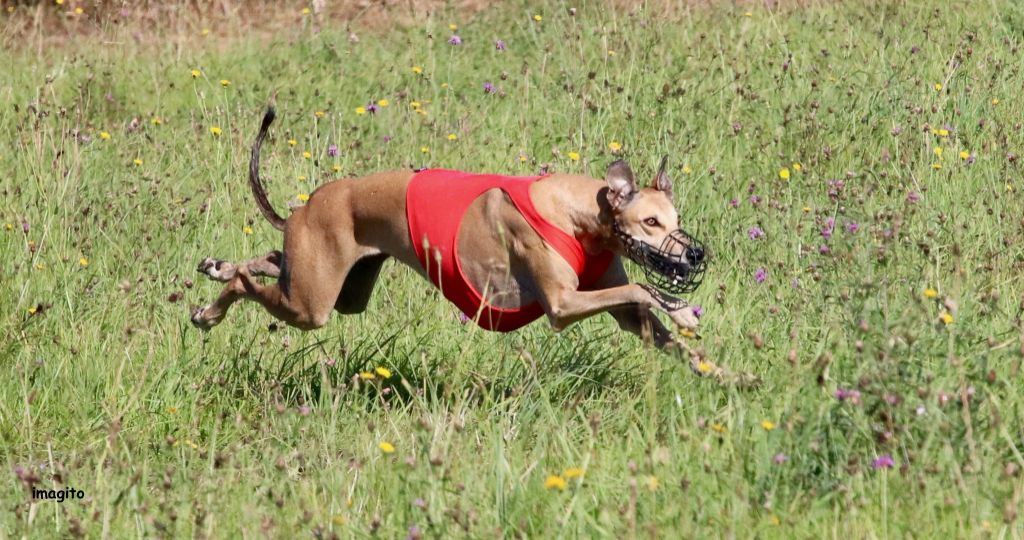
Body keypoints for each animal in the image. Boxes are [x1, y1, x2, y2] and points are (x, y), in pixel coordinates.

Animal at [192, 108, 708, 356]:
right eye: (651, 222)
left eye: (677, 219)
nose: (695, 256)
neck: (577, 212)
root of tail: (307, 205)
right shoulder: (562, 305)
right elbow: (639, 287)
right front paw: (680, 308)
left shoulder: (620, 310)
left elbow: (653, 324)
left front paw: (722, 377)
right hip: (312, 306)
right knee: (252, 284)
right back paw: (211, 309)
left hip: (340, 288)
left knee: (274, 260)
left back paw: (219, 267)